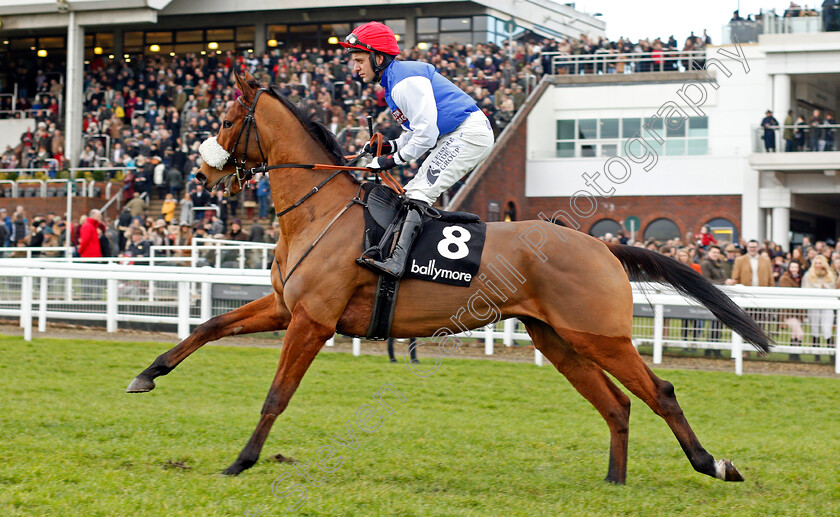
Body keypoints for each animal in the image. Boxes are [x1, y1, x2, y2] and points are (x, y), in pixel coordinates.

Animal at [128, 73, 772, 484]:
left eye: (227, 119)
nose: (203, 174)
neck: (320, 210)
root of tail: (600, 243)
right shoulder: (287, 306)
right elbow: (207, 326)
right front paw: (147, 375)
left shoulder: (312, 320)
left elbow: (276, 395)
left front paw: (241, 460)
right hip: (557, 339)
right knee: (615, 405)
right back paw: (614, 482)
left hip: (599, 334)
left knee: (659, 393)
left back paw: (714, 464)